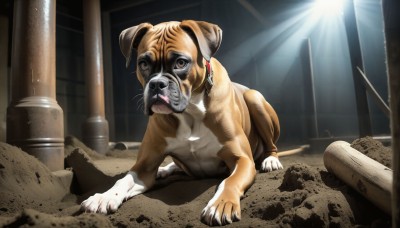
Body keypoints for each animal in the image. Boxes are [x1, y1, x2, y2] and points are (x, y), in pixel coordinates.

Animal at [80, 20, 282, 226]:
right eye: (143, 63)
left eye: (180, 62)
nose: (157, 84)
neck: (190, 111)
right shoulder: (144, 168)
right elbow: (124, 180)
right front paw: (104, 196)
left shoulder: (242, 160)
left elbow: (229, 181)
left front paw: (221, 203)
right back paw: (164, 169)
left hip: (254, 98)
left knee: (271, 145)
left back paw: (270, 160)